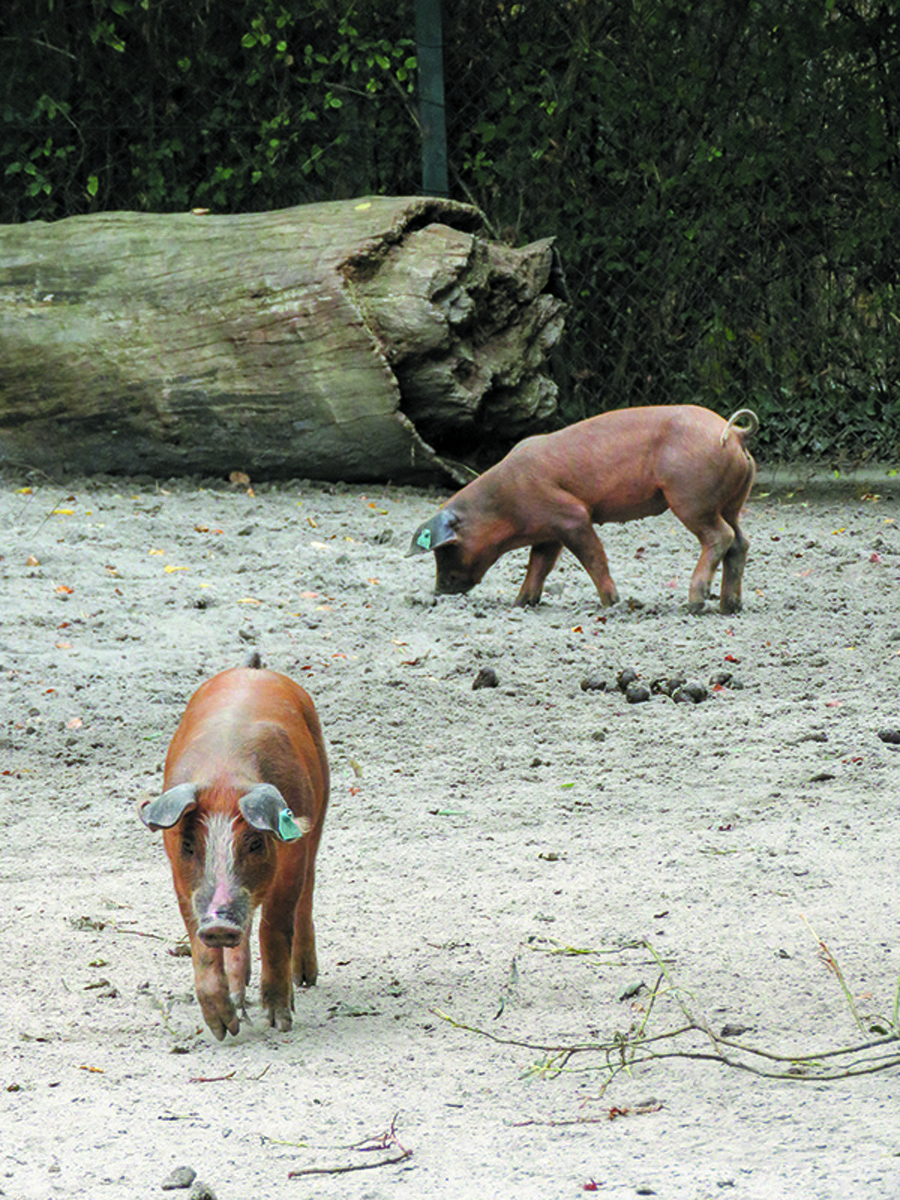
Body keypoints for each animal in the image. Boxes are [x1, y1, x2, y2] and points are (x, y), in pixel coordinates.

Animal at [137, 657, 328, 1041]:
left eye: (255, 842)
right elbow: (200, 943)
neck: (225, 776)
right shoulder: (181, 876)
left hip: (322, 802)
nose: (220, 924)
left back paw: (304, 979)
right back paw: (241, 996)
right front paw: (224, 1029)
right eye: (189, 844)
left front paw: (279, 1021)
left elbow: (276, 924)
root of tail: (254, 669)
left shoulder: (291, 856)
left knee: (308, 890)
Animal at [412, 405, 758, 614]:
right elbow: (538, 565)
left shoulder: (572, 516)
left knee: (720, 537)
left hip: (691, 498)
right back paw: (730, 606)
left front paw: (611, 604)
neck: (506, 503)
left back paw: (694, 603)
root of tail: (735, 434)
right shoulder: (548, 531)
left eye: (445, 549)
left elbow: (592, 556)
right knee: (741, 541)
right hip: (732, 502)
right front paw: (521, 603)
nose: (439, 590)